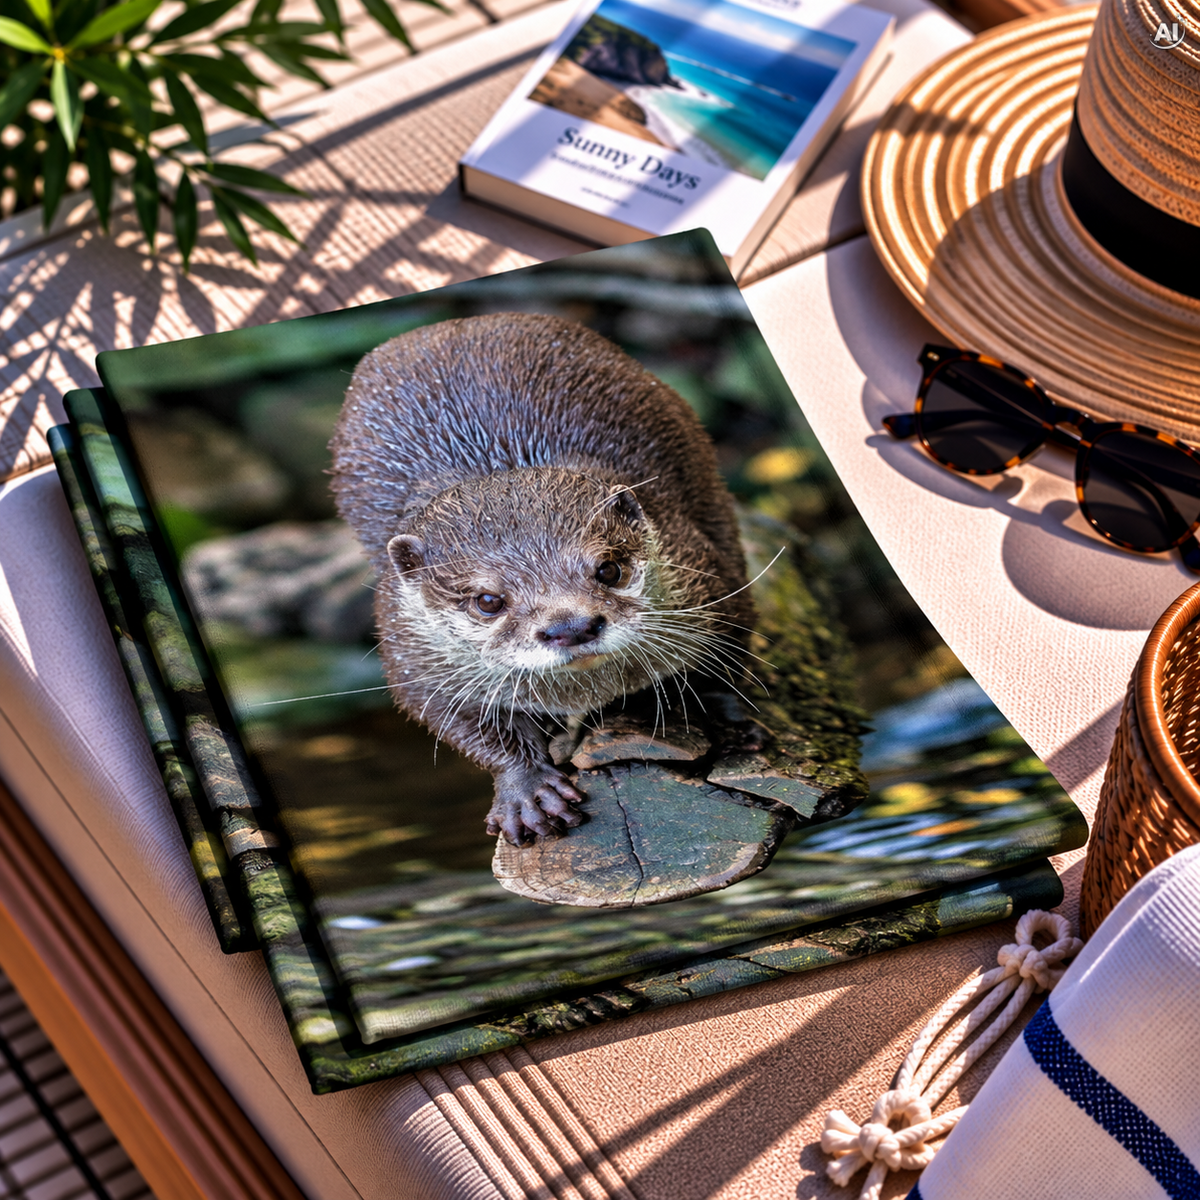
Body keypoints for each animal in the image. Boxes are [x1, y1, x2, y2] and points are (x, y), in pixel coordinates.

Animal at [330, 313, 756, 844]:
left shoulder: (705, 573)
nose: (571, 626)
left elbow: (727, 657)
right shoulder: (413, 657)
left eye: (609, 568)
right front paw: (528, 790)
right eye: (488, 600)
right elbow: (454, 719)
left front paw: (715, 719)